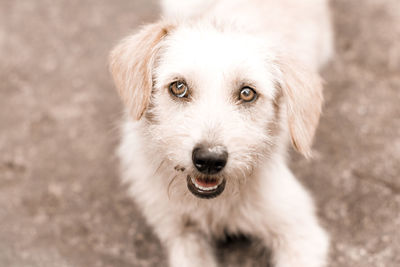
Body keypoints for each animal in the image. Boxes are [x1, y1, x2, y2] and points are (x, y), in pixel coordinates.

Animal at [109, 1, 334, 266]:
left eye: (247, 93)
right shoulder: (181, 234)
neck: (213, 204)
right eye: (179, 87)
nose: (209, 160)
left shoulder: (301, 232)